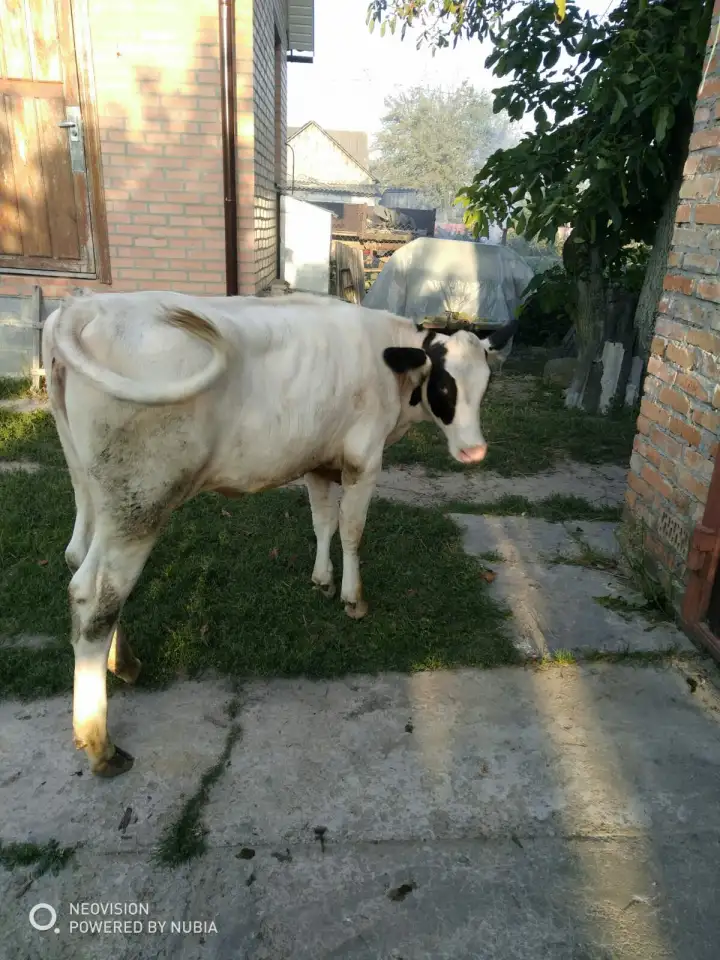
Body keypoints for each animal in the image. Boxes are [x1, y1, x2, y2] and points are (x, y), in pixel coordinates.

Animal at [43, 290, 516, 778]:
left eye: (486, 386)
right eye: (443, 387)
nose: (474, 450)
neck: (385, 359)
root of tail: (90, 305)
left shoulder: (318, 460)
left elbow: (323, 521)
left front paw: (322, 580)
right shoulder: (364, 460)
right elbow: (352, 529)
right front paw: (353, 599)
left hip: (91, 490)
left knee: (79, 562)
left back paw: (125, 662)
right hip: (140, 503)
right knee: (97, 597)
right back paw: (101, 745)